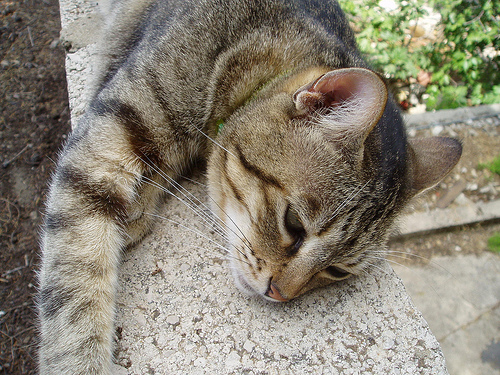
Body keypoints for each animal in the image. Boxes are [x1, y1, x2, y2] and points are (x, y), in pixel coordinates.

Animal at [37, 0, 462, 374]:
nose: (279, 293)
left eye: (337, 270)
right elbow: (74, 297)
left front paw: (141, 202)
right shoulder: (104, 141)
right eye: (293, 223)